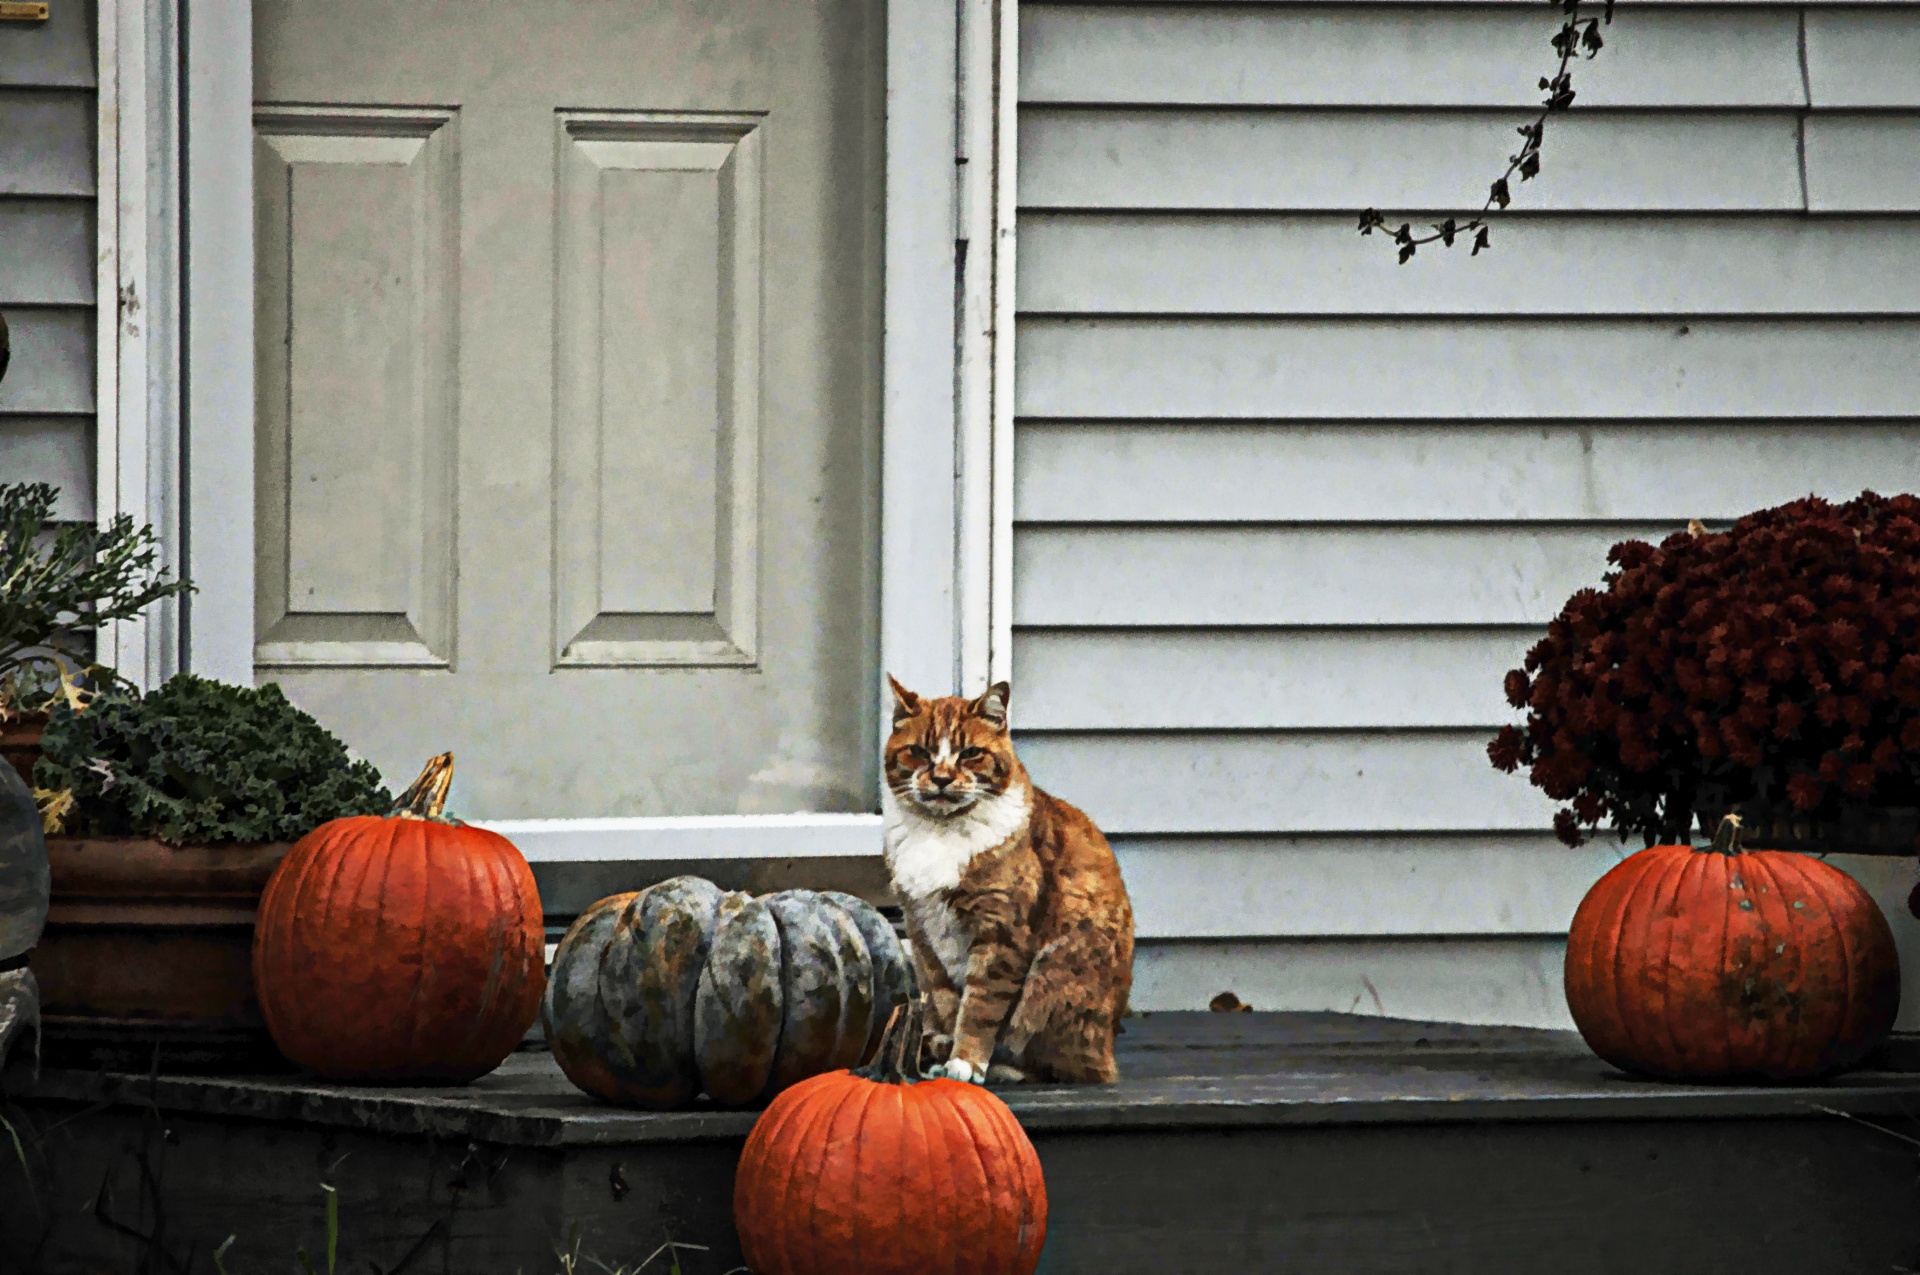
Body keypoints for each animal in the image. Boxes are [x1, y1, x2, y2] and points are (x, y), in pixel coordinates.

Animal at [887, 675, 1136, 1082]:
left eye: (971, 753)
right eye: (920, 752)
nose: (941, 779)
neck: (940, 831)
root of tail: (1109, 1053)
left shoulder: (1002, 932)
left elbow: (980, 1006)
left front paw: (965, 1061)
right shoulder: (922, 929)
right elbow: (946, 998)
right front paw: (945, 1050)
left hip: (1051, 979)